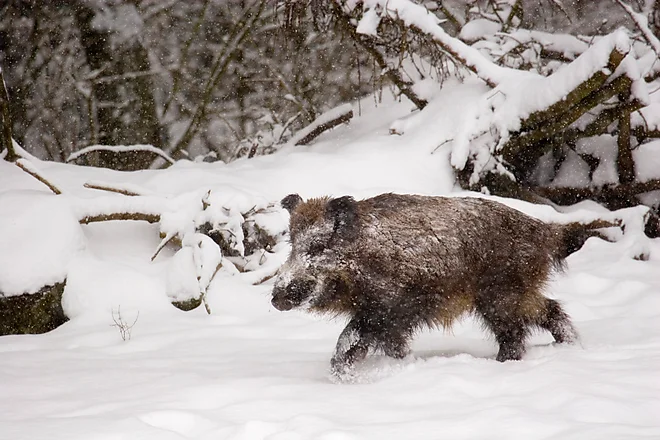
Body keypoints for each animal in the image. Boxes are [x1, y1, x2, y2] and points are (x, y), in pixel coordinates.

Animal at [271, 193, 602, 380]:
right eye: (291, 244)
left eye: (317, 246)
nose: (276, 298)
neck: (360, 257)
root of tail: (544, 232)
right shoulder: (388, 319)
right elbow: (389, 346)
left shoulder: (388, 309)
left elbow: (349, 340)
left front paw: (341, 378)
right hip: (514, 294)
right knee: (550, 310)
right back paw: (570, 347)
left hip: (500, 295)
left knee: (515, 333)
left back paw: (502, 366)